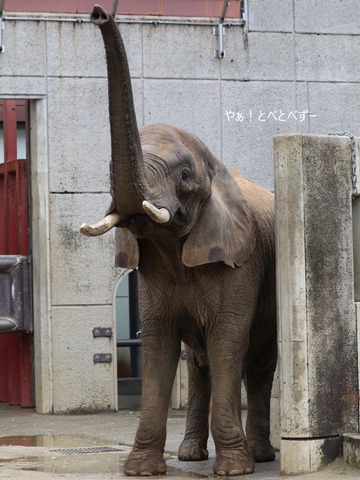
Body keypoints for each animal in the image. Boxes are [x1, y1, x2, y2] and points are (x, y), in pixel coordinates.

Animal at [81, 3, 276, 476]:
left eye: (185, 176)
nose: (97, 13)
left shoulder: (241, 264)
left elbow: (229, 341)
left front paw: (235, 470)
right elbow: (158, 345)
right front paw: (140, 469)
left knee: (256, 364)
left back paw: (259, 456)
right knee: (199, 363)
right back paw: (190, 454)